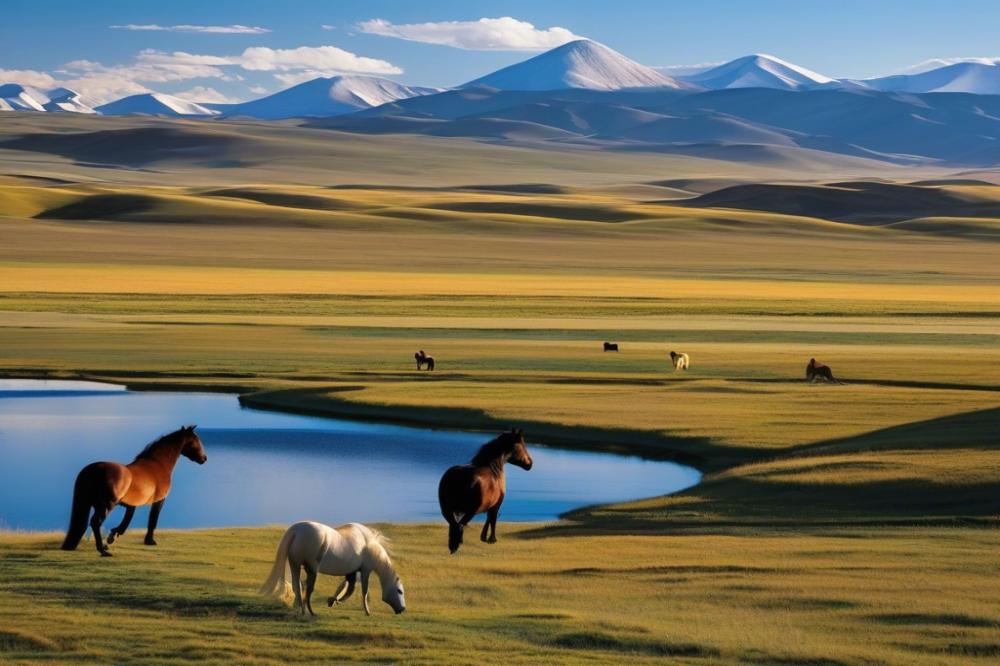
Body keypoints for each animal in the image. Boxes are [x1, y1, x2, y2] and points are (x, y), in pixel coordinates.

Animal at [61, 425, 207, 556]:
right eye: (195, 441)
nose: (204, 458)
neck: (158, 465)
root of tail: (93, 469)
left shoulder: (131, 504)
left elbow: (126, 520)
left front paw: (112, 536)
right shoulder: (159, 500)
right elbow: (152, 520)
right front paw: (149, 541)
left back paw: (102, 547)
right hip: (106, 505)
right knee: (95, 522)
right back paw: (103, 551)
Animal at [259, 521, 405, 617]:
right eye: (399, 591)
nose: (402, 609)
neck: (367, 543)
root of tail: (296, 530)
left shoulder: (352, 573)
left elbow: (347, 588)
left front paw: (333, 600)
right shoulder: (365, 571)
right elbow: (363, 591)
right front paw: (367, 611)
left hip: (295, 565)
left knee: (297, 586)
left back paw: (300, 609)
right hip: (311, 569)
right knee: (308, 589)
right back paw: (309, 611)